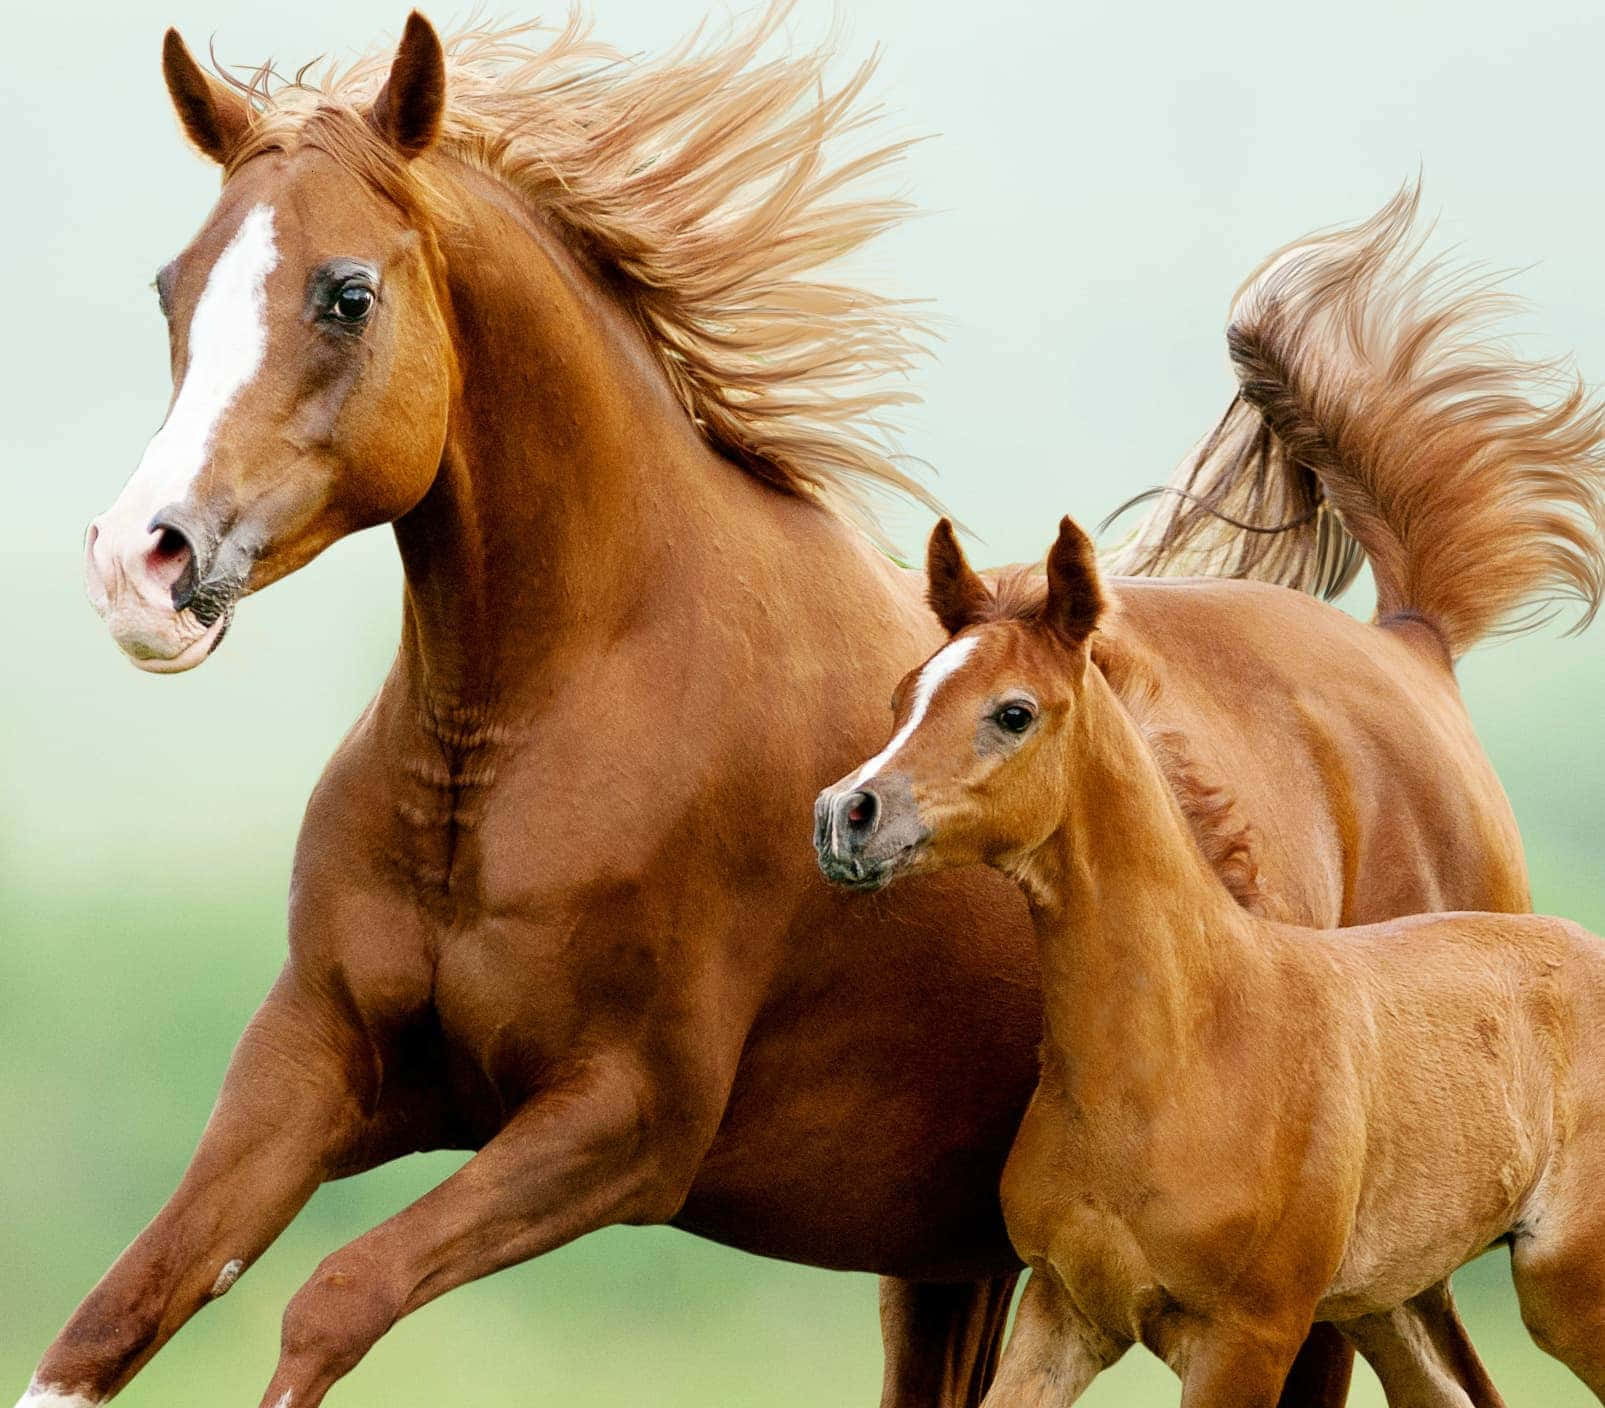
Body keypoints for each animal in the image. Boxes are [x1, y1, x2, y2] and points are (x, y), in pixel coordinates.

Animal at [815, 513, 1605, 1406]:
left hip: (1568, 1289)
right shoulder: (1065, 1308)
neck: (1185, 1049)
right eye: (902, 696)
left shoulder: (1247, 1336)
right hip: (1389, 1303)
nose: (844, 816)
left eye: (1013, 713)